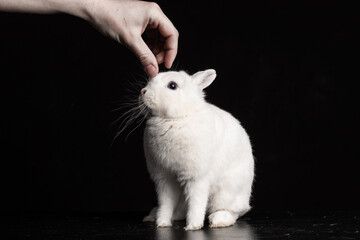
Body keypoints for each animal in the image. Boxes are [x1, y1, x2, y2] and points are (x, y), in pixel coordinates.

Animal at [139, 69, 255, 231]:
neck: (176, 119)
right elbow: (165, 203)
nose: (143, 91)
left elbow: (196, 203)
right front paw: (162, 223)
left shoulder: (197, 178)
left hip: (227, 193)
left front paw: (193, 227)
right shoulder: (164, 178)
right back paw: (153, 216)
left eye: (172, 85)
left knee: (232, 212)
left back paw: (218, 220)